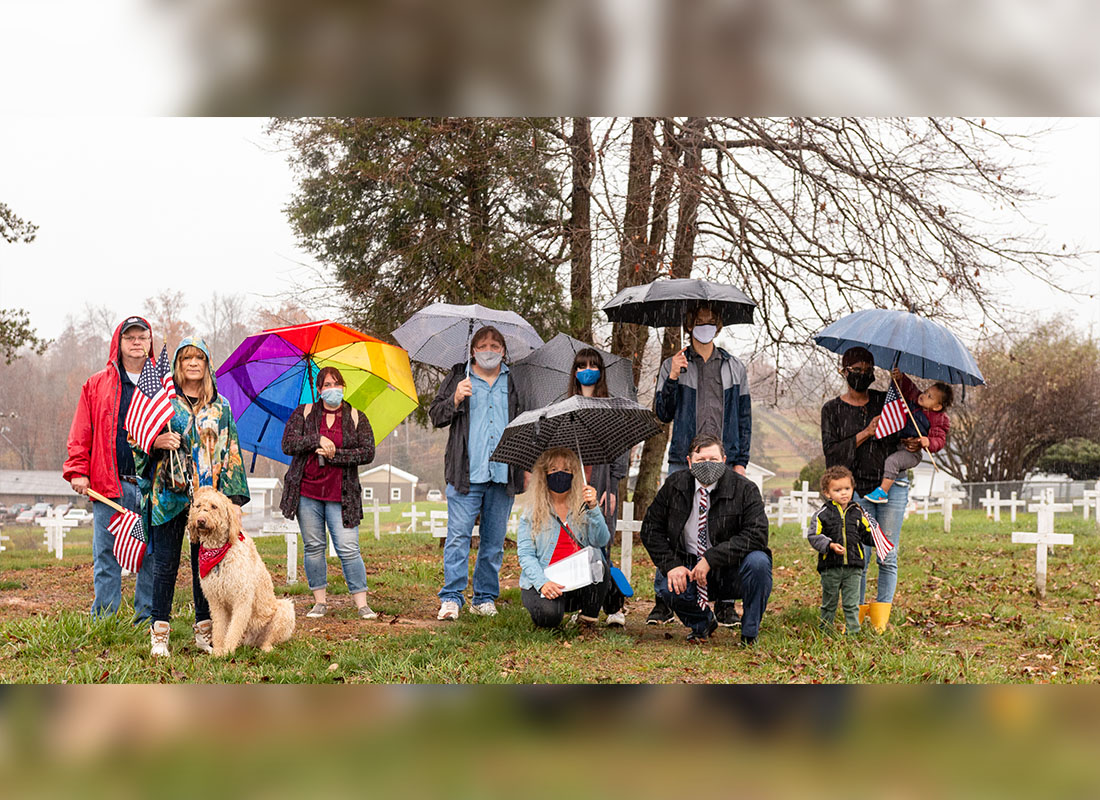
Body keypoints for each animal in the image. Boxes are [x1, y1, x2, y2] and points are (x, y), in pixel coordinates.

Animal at [187, 488, 294, 655]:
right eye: (198, 506)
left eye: (214, 506)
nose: (201, 521)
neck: (219, 552)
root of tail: (254, 641)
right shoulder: (216, 602)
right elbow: (219, 629)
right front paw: (218, 651)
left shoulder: (242, 599)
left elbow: (234, 629)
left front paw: (227, 651)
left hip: (285, 608)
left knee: (269, 639)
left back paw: (266, 648)